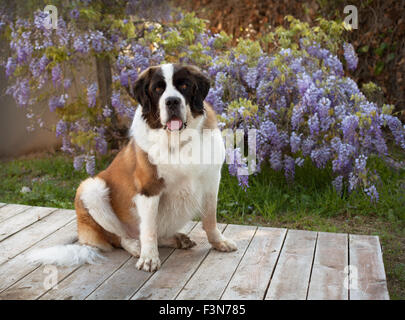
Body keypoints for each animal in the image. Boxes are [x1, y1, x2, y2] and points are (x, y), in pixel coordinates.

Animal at [29, 63, 237, 272]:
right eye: (158, 89)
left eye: (184, 86)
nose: (172, 101)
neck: (178, 140)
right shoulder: (149, 189)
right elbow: (149, 229)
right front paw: (149, 258)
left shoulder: (211, 181)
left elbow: (210, 218)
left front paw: (219, 242)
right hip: (91, 189)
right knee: (119, 238)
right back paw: (136, 246)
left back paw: (176, 239)